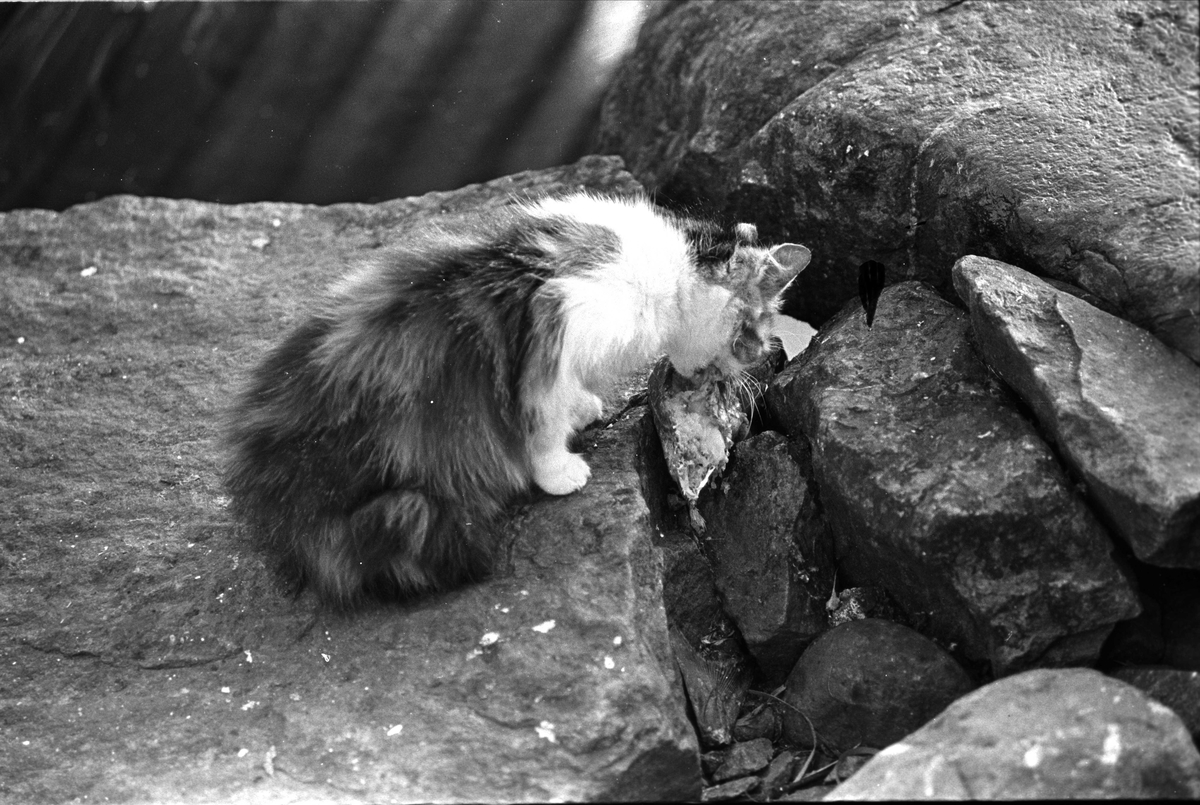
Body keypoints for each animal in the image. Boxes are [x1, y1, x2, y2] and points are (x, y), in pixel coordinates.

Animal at [223, 191, 816, 604]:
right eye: (752, 336)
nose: (758, 364)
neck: (675, 268)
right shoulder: (555, 328)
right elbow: (544, 420)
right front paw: (560, 471)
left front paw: (585, 407)